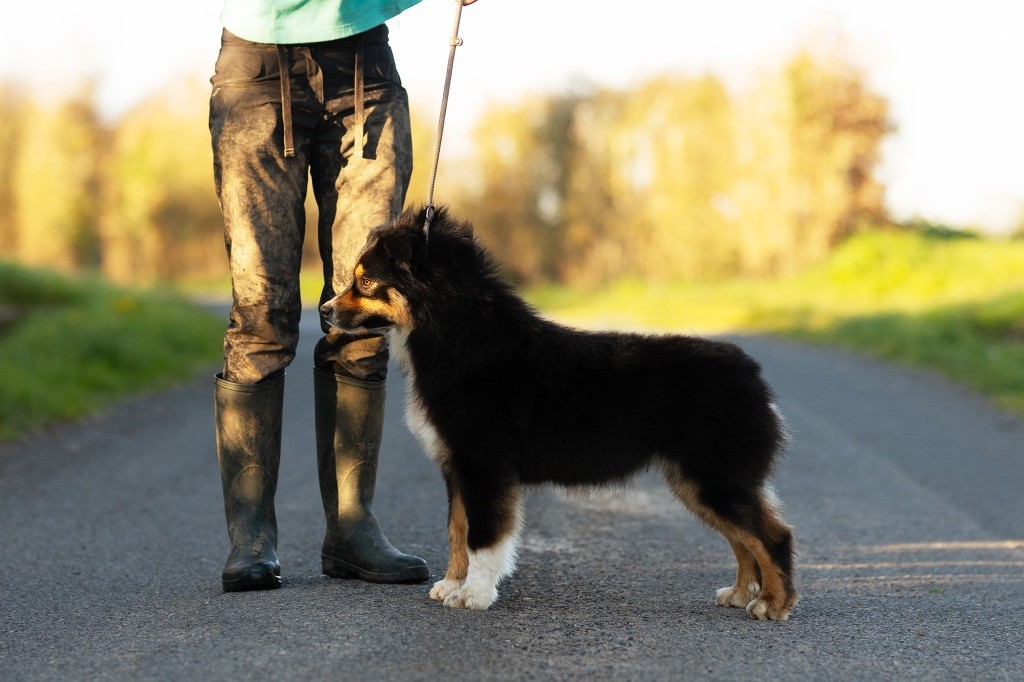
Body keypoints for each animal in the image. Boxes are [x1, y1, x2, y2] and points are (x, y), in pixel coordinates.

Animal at [319, 204, 798, 618]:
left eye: (365, 282)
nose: (324, 310)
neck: (458, 333)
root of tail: (750, 371)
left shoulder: (484, 465)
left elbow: (482, 536)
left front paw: (474, 594)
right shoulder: (457, 467)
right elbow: (456, 530)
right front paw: (453, 585)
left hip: (716, 476)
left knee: (772, 535)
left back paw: (772, 605)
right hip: (697, 481)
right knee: (744, 539)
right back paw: (741, 594)